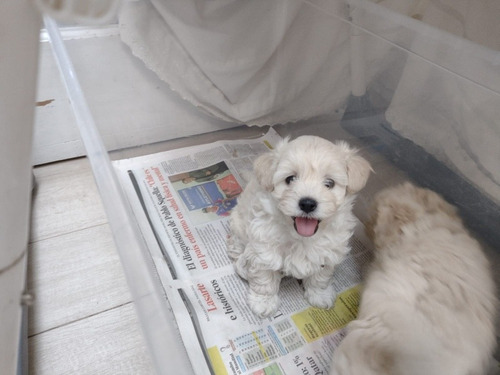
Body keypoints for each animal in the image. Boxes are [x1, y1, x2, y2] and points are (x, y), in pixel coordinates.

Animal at [227, 137, 372, 318]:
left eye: (329, 183)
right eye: (290, 179)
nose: (308, 204)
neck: (300, 237)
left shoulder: (328, 252)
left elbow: (321, 277)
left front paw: (320, 295)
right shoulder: (264, 248)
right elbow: (264, 278)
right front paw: (263, 302)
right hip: (238, 224)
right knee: (236, 245)